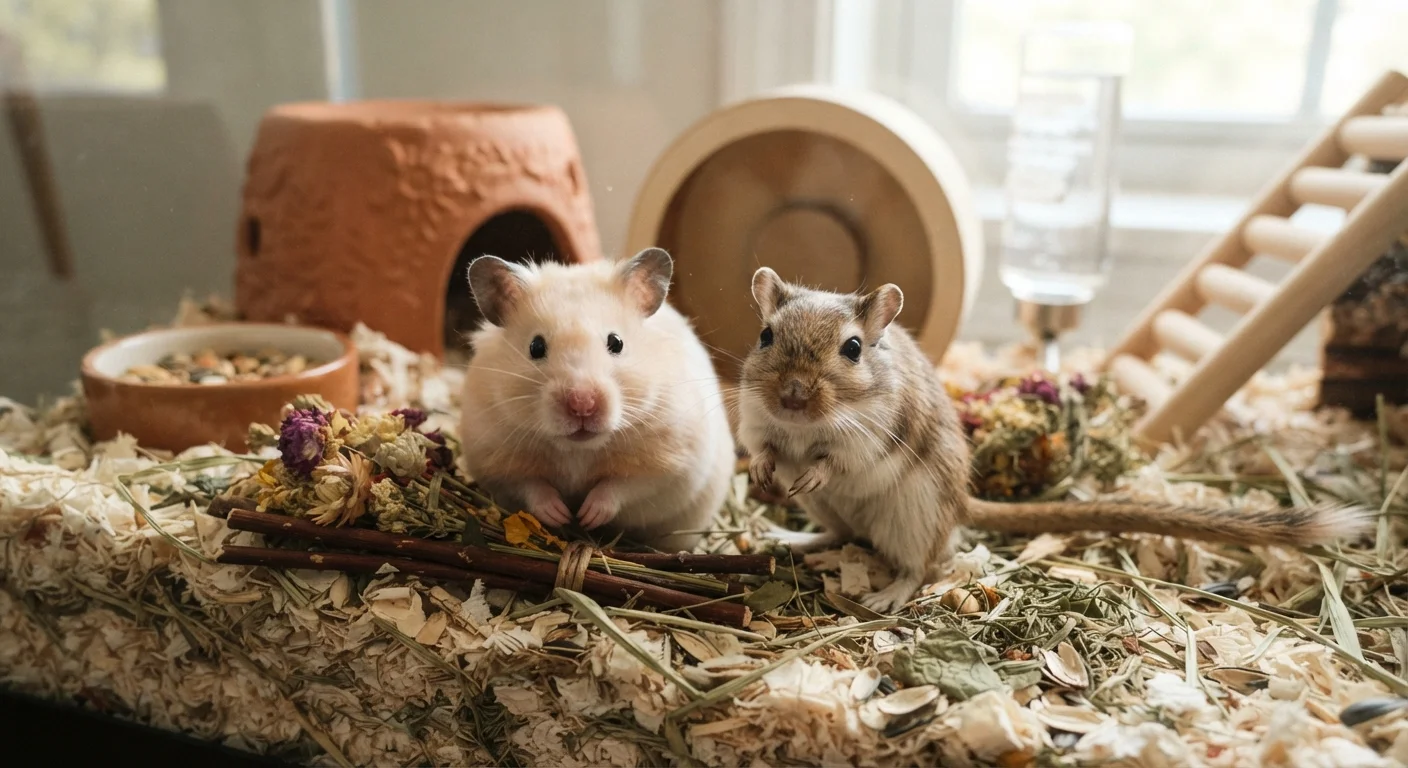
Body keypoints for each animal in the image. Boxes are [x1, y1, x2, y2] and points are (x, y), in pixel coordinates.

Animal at [458, 248, 735, 553]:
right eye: (536, 347)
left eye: (616, 342)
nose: (582, 404)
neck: (579, 450)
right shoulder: (495, 462)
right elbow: (531, 486)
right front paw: (561, 514)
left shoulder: (673, 464)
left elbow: (623, 486)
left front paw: (588, 516)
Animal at [736, 267, 1374, 613]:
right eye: (765, 337)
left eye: (852, 349)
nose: (792, 395)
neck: (803, 426)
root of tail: (963, 503)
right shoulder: (755, 420)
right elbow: (764, 445)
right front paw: (765, 472)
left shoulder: (866, 438)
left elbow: (836, 460)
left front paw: (810, 467)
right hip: (838, 513)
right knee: (840, 533)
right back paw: (790, 538)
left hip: (912, 515)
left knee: (921, 565)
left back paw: (886, 595)